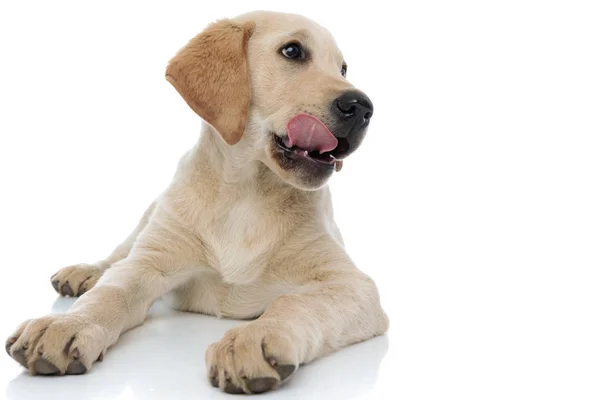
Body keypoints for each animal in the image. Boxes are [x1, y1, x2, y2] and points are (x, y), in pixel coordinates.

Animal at [4, 10, 390, 396]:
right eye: (293, 51)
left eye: (343, 69)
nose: (362, 107)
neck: (247, 193)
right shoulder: (150, 261)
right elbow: (111, 292)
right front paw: (67, 324)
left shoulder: (352, 284)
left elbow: (294, 302)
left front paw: (253, 337)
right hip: (152, 217)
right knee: (117, 257)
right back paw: (84, 272)